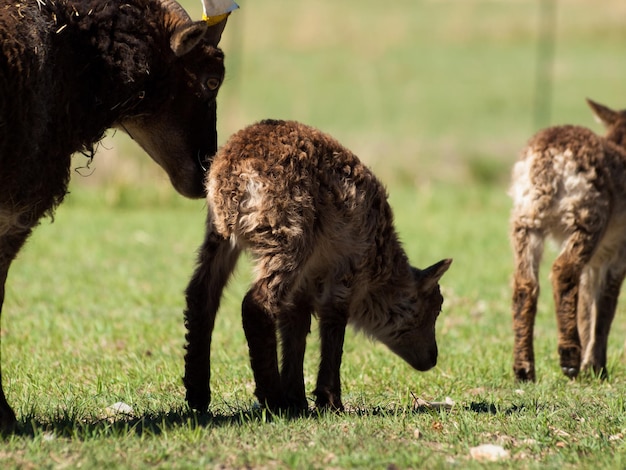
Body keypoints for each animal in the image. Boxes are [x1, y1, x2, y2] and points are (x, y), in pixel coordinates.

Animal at [183, 119, 450, 414]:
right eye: (436, 309)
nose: (432, 358)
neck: (379, 272)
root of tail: (233, 173)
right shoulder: (350, 265)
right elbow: (334, 322)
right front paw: (330, 400)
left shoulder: (308, 280)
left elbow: (295, 325)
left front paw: (298, 398)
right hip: (288, 232)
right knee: (256, 305)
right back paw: (272, 398)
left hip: (220, 231)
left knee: (201, 294)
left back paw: (197, 391)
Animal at [510, 100, 624, 382]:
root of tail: (548, 158)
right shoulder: (619, 250)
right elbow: (606, 303)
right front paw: (596, 367)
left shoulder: (598, 260)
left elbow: (587, 304)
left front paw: (590, 365)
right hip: (588, 216)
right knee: (563, 270)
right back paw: (569, 358)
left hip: (524, 219)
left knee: (524, 282)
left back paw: (524, 369)